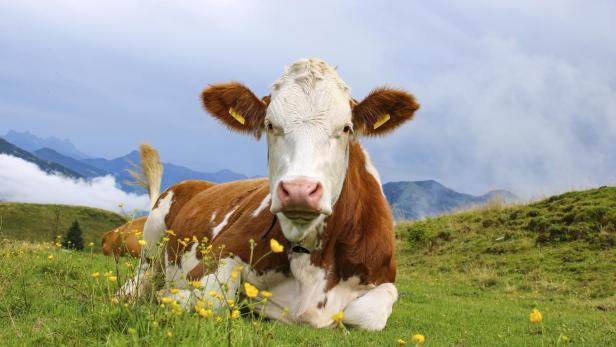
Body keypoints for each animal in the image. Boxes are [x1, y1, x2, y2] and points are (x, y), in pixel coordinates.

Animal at [120, 57, 418, 332]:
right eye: (270, 125)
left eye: (346, 128)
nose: (299, 190)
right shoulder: (219, 253)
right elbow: (210, 299)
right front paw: (168, 296)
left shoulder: (383, 279)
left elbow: (367, 314)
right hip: (153, 234)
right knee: (142, 273)